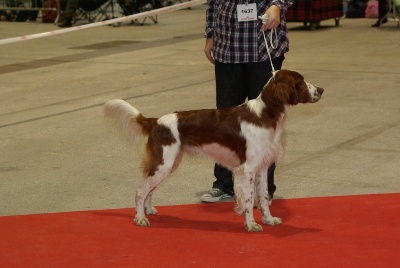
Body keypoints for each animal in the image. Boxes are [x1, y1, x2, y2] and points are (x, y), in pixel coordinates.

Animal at [104, 70, 324, 231]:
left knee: (149, 189)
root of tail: (156, 121)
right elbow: (249, 199)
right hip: (163, 164)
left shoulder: (262, 168)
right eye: (301, 82)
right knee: (141, 190)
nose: (321, 89)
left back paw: (148, 210)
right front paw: (251, 224)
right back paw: (140, 218)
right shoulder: (247, 170)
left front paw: (269, 220)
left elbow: (263, 197)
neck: (265, 115)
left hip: (169, 163)